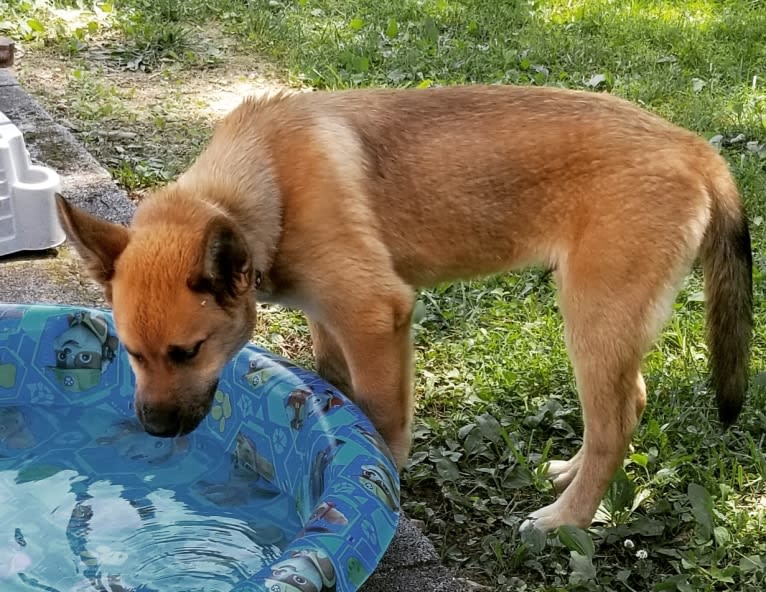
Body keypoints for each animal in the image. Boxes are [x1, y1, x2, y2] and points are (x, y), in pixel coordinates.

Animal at [57, 84, 752, 532]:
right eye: (132, 354)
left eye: (189, 352)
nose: (152, 430)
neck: (268, 182)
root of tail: (696, 148)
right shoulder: (328, 321)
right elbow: (336, 395)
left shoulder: (374, 317)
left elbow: (382, 419)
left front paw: (376, 489)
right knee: (624, 405)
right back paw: (570, 476)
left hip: (592, 316)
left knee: (618, 418)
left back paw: (565, 519)